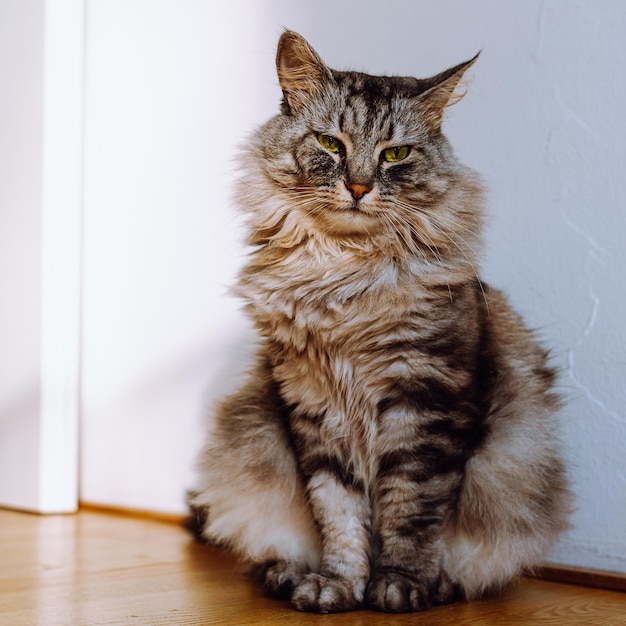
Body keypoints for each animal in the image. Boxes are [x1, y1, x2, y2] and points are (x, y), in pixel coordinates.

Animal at [186, 31, 572, 612]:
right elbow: (339, 514)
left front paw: (399, 585)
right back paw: (287, 574)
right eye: (330, 144)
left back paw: (439, 587)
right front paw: (337, 585)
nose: (359, 187)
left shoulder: (425, 401)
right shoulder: (314, 405)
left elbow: (410, 511)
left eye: (396, 153)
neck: (342, 280)